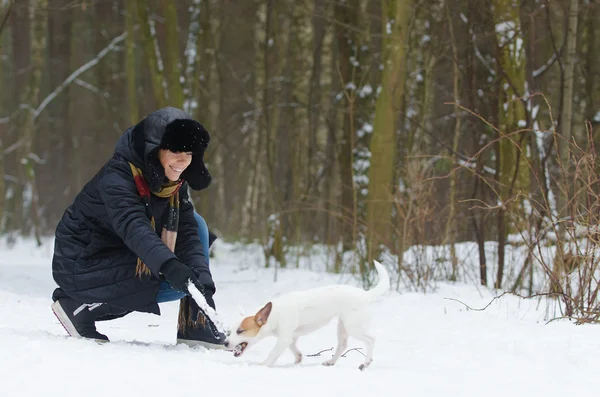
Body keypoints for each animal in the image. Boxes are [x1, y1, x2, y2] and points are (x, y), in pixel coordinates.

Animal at [224, 260, 390, 368]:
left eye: (240, 331)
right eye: (230, 331)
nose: (225, 343)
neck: (274, 314)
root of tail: (365, 294)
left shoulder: (283, 338)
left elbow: (273, 353)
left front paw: (263, 364)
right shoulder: (291, 337)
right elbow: (293, 347)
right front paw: (298, 358)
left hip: (353, 326)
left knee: (371, 340)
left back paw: (366, 362)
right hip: (342, 326)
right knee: (342, 345)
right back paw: (331, 362)